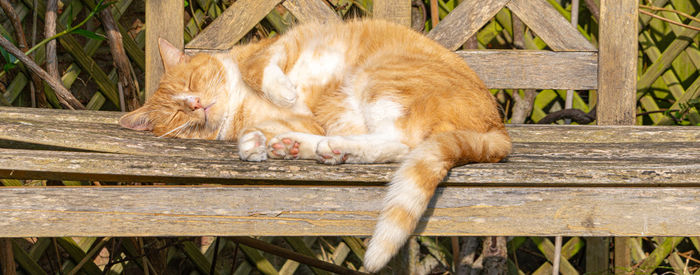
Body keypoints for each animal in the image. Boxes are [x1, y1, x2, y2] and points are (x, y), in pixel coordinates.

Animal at [120, 19, 512, 274]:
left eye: (190, 81)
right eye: (175, 113)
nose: (196, 104)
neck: (238, 106)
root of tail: (498, 127)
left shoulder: (285, 45)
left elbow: (256, 68)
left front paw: (281, 92)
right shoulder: (307, 120)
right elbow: (268, 125)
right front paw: (261, 142)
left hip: (381, 75)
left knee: (405, 142)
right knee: (396, 145)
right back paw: (311, 147)